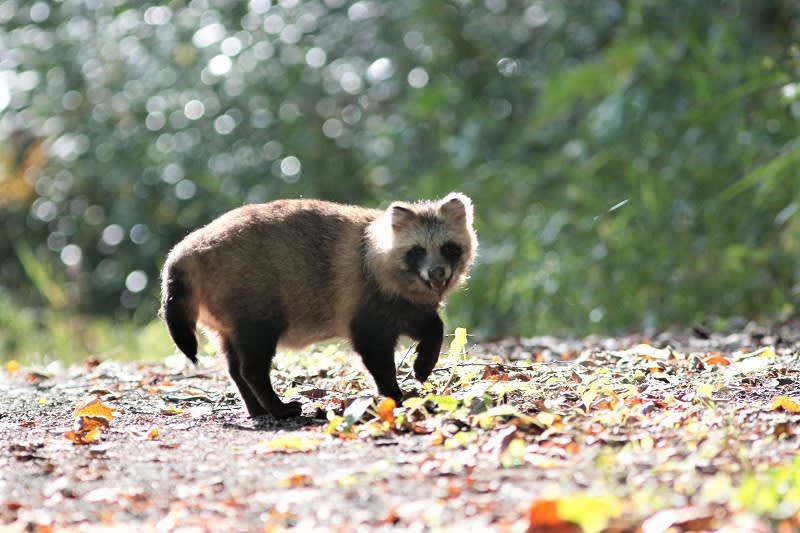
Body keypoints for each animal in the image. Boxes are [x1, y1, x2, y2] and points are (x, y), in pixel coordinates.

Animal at [159, 193, 478, 418]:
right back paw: (276, 407)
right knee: (250, 367)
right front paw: (393, 394)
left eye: (448, 248)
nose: (437, 274)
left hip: (223, 319)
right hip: (255, 306)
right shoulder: (367, 307)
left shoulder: (403, 306)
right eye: (418, 251)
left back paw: (256, 406)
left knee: (234, 367)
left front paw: (425, 361)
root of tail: (187, 249)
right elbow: (376, 356)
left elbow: (433, 325)